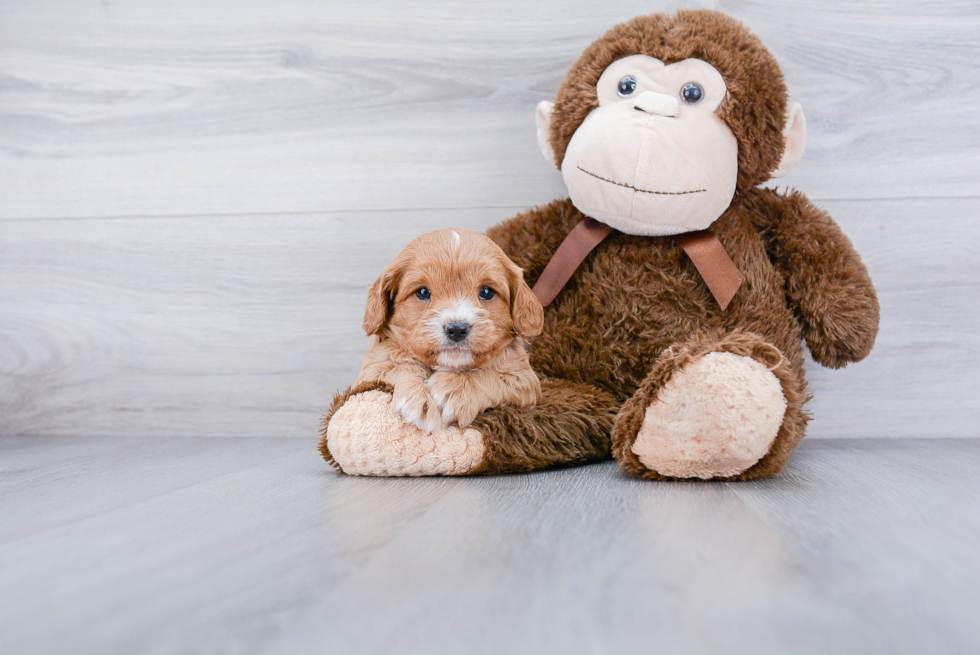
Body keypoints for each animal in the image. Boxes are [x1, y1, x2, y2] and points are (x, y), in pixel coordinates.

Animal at [358, 228, 548, 434]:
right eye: (423, 292)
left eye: (486, 292)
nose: (457, 329)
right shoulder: (371, 370)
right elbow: (398, 365)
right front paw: (419, 398)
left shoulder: (524, 379)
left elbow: (493, 377)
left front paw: (456, 389)